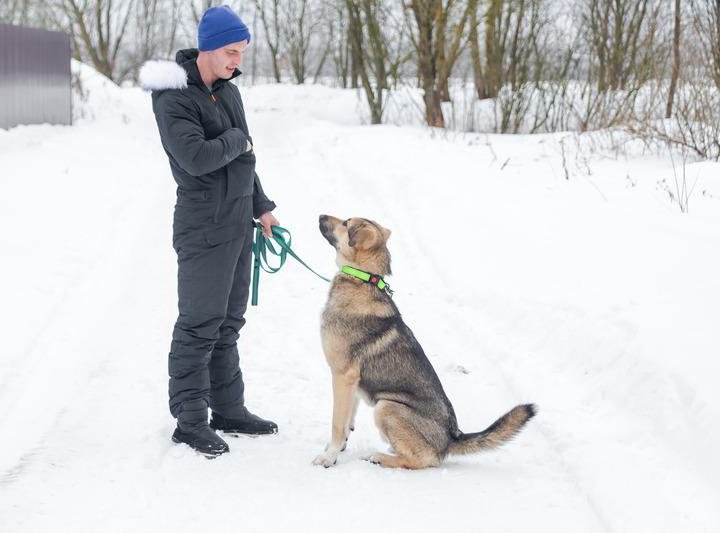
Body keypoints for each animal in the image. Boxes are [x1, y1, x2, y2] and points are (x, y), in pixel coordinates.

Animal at [314, 214, 536, 468]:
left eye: (346, 223)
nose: (320, 215)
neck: (363, 279)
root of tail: (451, 438)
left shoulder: (343, 375)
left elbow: (337, 424)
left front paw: (328, 457)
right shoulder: (353, 383)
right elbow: (348, 420)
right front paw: (337, 449)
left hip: (386, 406)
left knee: (419, 460)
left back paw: (378, 457)